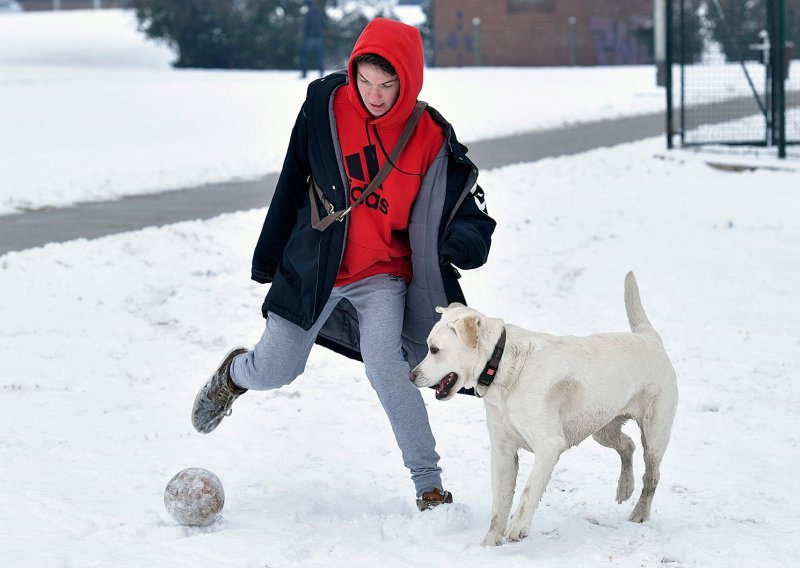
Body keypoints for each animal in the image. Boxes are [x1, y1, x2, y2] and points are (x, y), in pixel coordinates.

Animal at [410, 272, 680, 544]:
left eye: (434, 350)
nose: (411, 376)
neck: (502, 366)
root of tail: (650, 338)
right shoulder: (503, 452)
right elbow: (499, 505)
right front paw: (490, 543)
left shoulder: (549, 445)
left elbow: (529, 491)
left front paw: (517, 528)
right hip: (603, 428)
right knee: (628, 446)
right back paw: (624, 488)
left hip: (655, 434)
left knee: (651, 475)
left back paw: (640, 512)